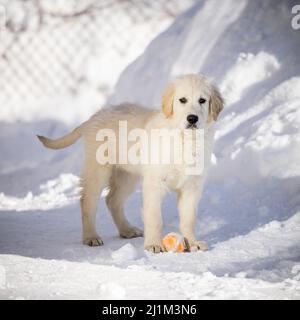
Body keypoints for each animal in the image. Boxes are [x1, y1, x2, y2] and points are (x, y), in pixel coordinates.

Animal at [37, 74, 224, 252]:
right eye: (182, 100)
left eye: (202, 100)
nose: (192, 119)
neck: (184, 138)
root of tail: (93, 117)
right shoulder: (154, 182)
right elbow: (154, 217)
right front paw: (153, 245)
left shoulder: (192, 186)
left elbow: (189, 219)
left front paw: (193, 243)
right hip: (97, 170)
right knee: (88, 201)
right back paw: (91, 237)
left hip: (127, 176)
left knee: (112, 200)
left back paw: (126, 230)